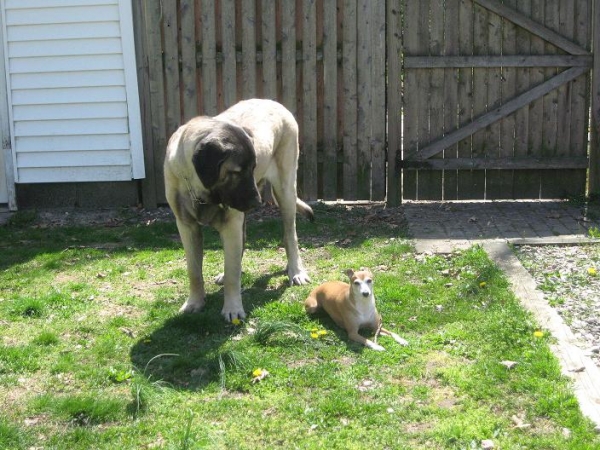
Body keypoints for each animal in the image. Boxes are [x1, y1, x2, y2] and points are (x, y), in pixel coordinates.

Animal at [164, 100, 314, 322]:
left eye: (253, 167)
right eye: (236, 172)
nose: (256, 202)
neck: (200, 190)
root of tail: (274, 103)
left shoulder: (231, 224)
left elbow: (233, 272)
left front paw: (232, 308)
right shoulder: (186, 226)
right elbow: (194, 271)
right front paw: (194, 303)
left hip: (285, 190)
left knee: (290, 235)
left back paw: (296, 271)